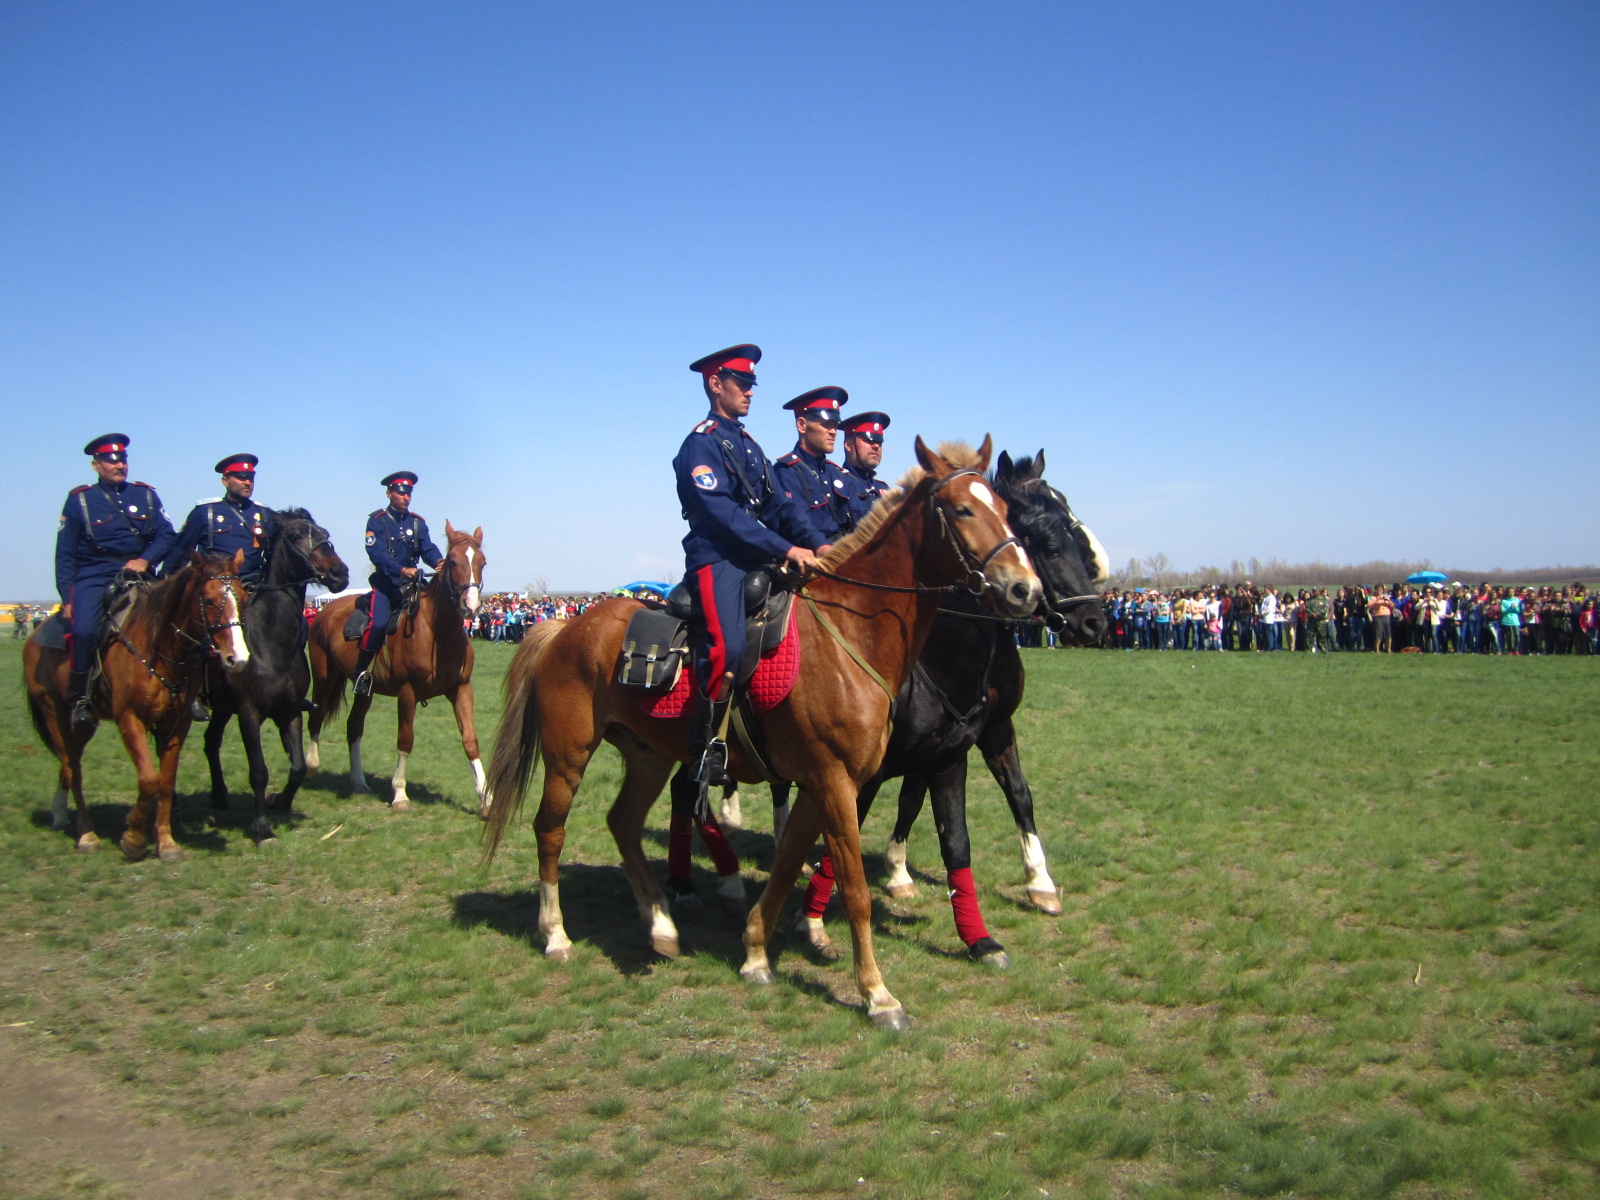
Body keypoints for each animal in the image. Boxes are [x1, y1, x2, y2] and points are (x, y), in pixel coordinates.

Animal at [25, 553, 251, 864]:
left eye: (243, 597)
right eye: (208, 600)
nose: (238, 658)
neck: (159, 648)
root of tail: (35, 634)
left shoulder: (176, 724)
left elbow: (166, 781)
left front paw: (166, 843)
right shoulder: (129, 719)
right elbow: (148, 780)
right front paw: (133, 838)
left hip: (85, 725)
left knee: (70, 765)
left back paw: (62, 815)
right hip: (55, 715)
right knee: (73, 770)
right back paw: (86, 834)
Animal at [305, 521, 486, 812]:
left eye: (482, 562)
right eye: (452, 561)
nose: (470, 606)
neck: (437, 632)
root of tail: (325, 612)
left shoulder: (461, 688)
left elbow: (470, 740)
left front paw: (486, 798)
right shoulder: (407, 691)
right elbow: (405, 740)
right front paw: (400, 793)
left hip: (364, 690)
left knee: (354, 727)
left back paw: (359, 783)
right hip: (324, 677)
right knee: (317, 716)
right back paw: (311, 766)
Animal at [483, 441, 1036, 1036]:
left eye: (1006, 510)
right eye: (962, 509)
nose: (1025, 589)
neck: (851, 632)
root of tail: (565, 626)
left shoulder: (823, 784)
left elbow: (790, 862)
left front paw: (754, 954)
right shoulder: (835, 782)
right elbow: (854, 891)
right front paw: (878, 995)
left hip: (649, 757)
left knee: (623, 823)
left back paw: (660, 925)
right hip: (568, 758)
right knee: (550, 831)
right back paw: (556, 934)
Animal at [768, 451, 1107, 966]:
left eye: (1075, 532)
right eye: (1050, 544)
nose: (1093, 621)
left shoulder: (980, 735)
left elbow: (1003, 801)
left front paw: (1037, 885)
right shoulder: (868, 765)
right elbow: (854, 831)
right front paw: (819, 917)